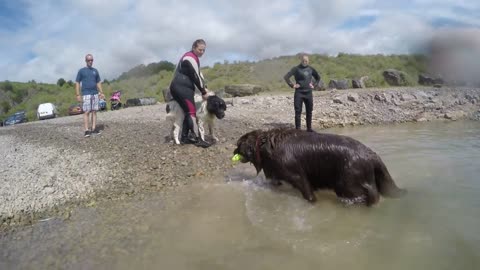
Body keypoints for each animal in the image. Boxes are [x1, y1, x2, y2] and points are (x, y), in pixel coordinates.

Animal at [234, 127, 406, 206]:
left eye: (238, 145)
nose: (233, 151)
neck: (265, 145)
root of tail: (371, 154)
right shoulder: (275, 176)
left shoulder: (297, 175)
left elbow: (308, 193)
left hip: (347, 184)